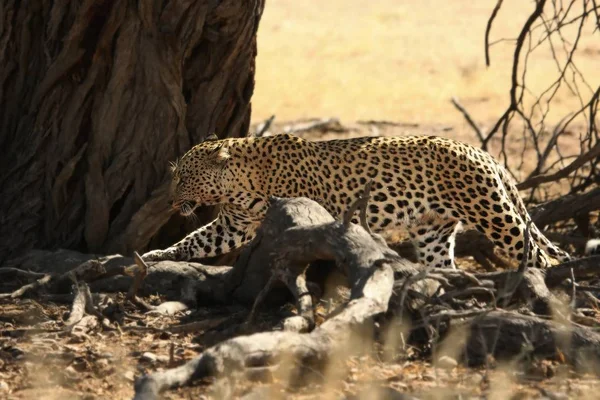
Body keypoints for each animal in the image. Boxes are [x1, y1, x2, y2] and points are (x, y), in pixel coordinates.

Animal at [142, 133, 572, 270]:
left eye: (183, 175)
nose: (170, 199)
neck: (242, 183)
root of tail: (481, 152)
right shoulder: (232, 223)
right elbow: (195, 241)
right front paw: (154, 256)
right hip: (433, 230)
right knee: (443, 264)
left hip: (491, 210)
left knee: (537, 254)